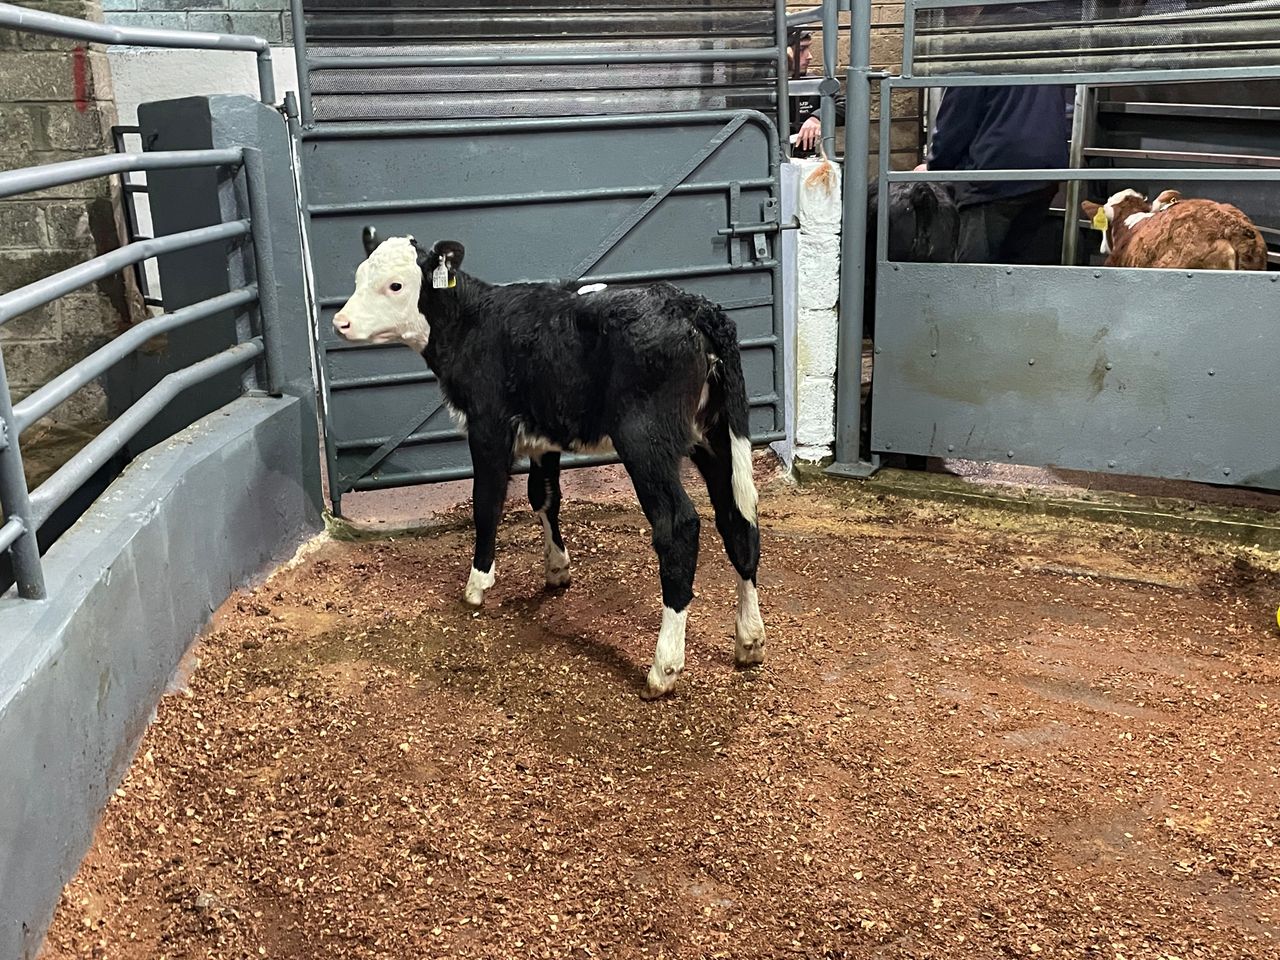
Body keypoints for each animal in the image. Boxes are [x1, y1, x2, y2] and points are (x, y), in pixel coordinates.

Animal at [332, 228, 767, 699]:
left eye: (395, 285)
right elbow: (543, 496)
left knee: (679, 526)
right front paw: (557, 568)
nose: (341, 322)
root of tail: (693, 305)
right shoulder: (542, 437)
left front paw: (477, 584)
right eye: (358, 275)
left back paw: (663, 667)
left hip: (646, 441)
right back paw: (750, 640)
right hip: (717, 435)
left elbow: (486, 502)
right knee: (738, 519)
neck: (473, 323)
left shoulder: (488, 427)